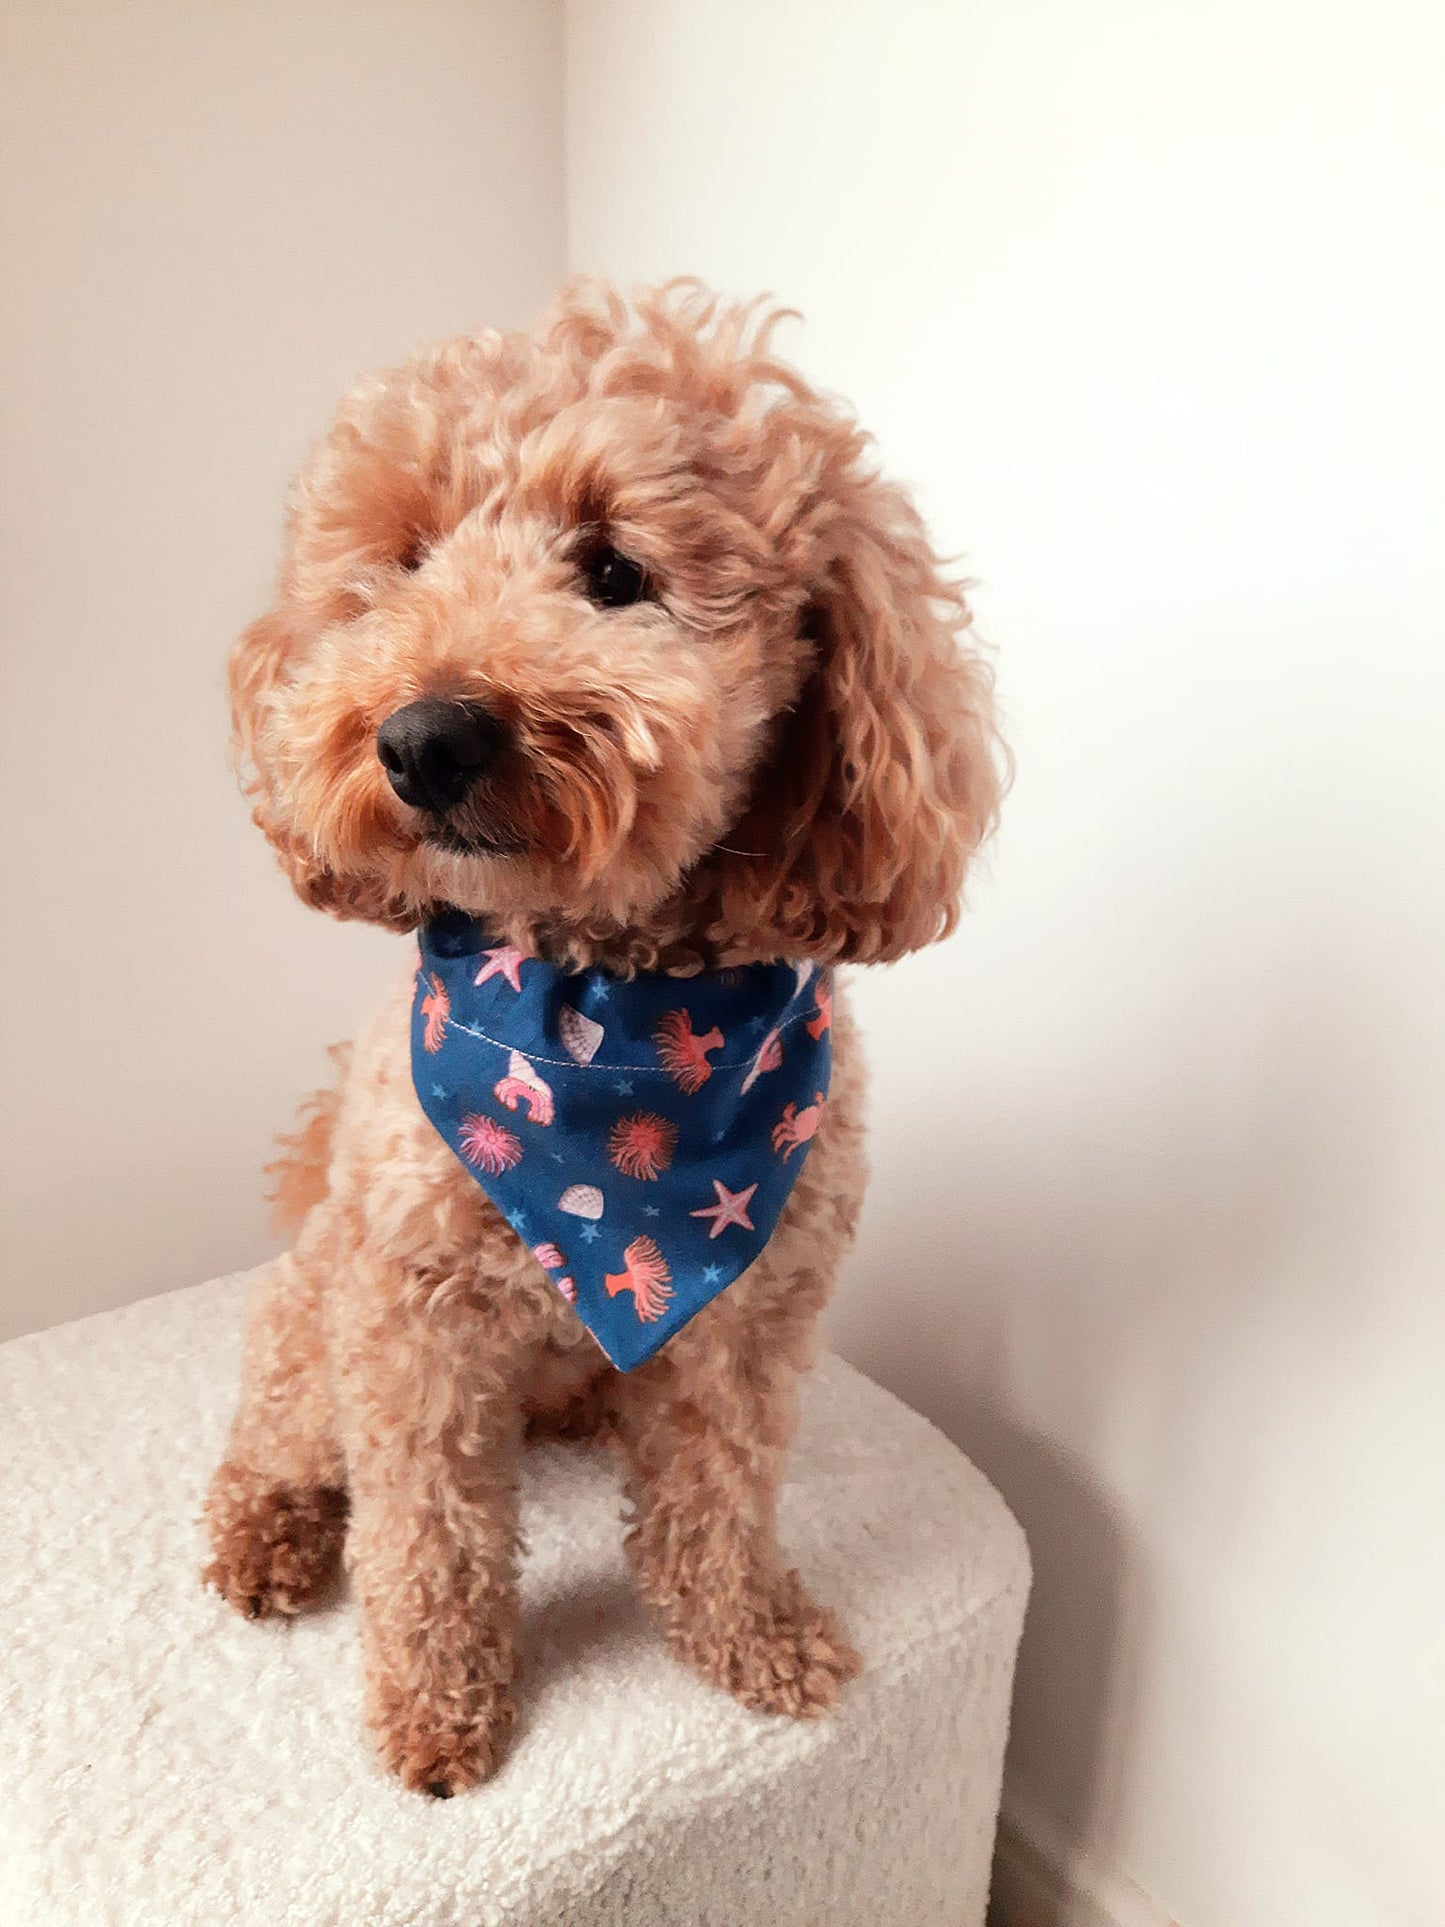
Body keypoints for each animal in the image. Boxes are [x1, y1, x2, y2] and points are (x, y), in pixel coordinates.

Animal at [206, 279, 1009, 1795]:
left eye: (615, 570)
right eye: (400, 563)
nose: (424, 737)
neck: (608, 1019)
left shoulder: (751, 1318)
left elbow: (717, 1494)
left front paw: (745, 1637)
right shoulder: (409, 1318)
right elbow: (427, 1534)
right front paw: (436, 1707)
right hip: (311, 1315)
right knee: (274, 1433)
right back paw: (265, 1530)